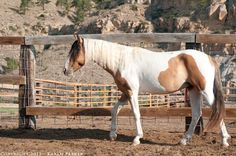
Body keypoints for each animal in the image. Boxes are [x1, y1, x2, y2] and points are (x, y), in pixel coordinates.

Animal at [63, 34, 230, 146]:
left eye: (75, 50)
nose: (65, 70)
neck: (122, 60)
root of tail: (209, 58)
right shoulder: (125, 93)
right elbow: (114, 110)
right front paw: (112, 134)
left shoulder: (132, 92)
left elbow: (136, 114)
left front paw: (137, 138)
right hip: (194, 91)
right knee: (196, 114)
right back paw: (183, 140)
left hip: (205, 92)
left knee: (217, 110)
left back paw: (224, 141)